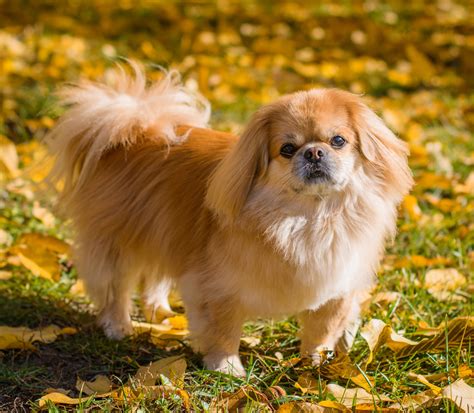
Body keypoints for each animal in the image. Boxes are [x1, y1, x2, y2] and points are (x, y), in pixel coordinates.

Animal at [46, 62, 412, 374]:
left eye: (338, 141)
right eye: (287, 149)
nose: (314, 152)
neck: (309, 219)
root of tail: (140, 130)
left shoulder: (337, 289)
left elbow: (320, 332)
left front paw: (314, 365)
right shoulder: (218, 288)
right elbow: (223, 330)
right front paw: (226, 367)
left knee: (155, 278)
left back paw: (160, 312)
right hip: (119, 242)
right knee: (116, 287)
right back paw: (118, 326)